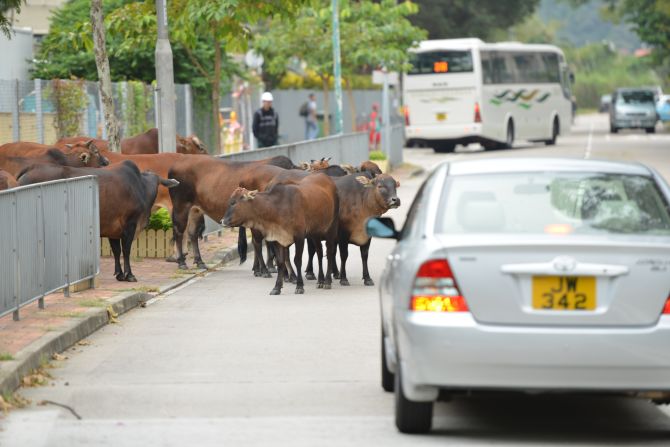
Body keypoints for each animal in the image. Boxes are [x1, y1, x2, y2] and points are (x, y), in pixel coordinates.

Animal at [19, 159, 178, 282]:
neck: (141, 186)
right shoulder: (130, 225)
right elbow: (126, 251)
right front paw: (129, 275)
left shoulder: (114, 230)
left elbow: (116, 251)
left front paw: (119, 274)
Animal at [168, 156, 302, 272]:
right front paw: (269, 267)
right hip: (181, 206)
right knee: (178, 232)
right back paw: (181, 262)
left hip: (195, 210)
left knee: (192, 233)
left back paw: (199, 262)